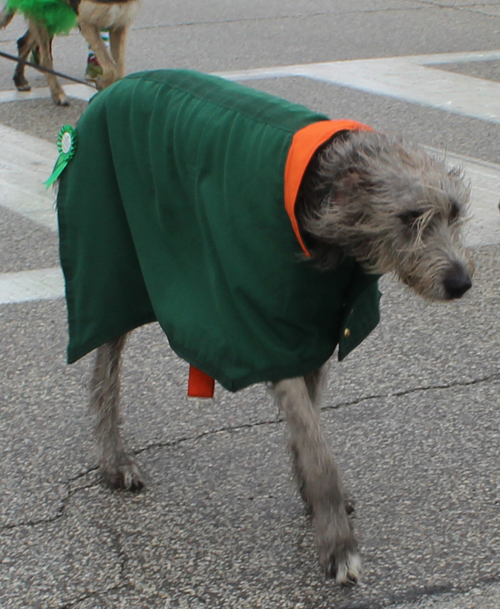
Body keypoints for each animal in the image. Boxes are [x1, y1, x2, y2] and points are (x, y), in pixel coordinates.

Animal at [56, 69, 474, 588]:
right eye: (410, 218)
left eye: (454, 213)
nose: (461, 282)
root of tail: (111, 87)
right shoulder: (264, 333)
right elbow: (316, 444)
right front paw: (337, 541)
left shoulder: (314, 329)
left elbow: (308, 425)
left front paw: (313, 500)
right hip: (111, 272)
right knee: (104, 371)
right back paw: (114, 460)